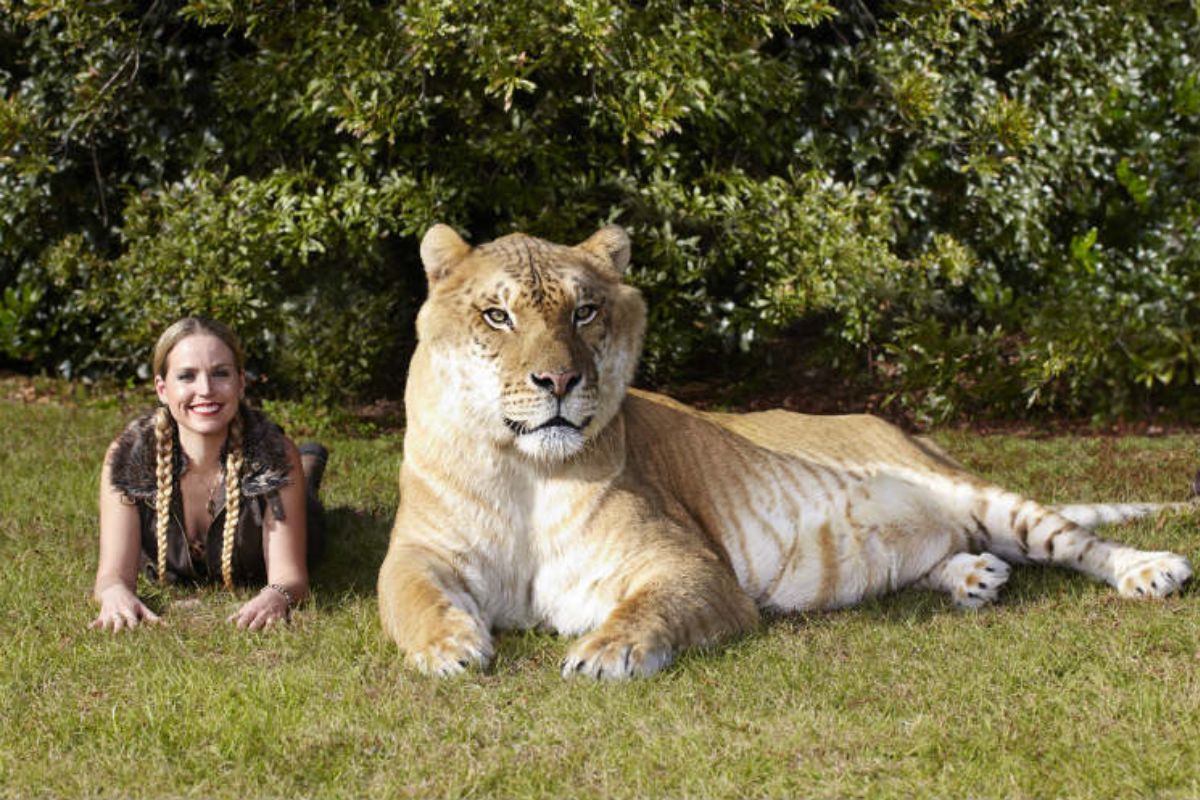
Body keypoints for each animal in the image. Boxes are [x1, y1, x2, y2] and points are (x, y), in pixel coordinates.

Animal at [377, 224, 1194, 679]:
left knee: (1075, 541)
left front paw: (606, 654)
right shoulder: (420, 552)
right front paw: (449, 648)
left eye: (584, 312)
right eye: (497, 316)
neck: (525, 469)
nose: (559, 380)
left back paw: (1151, 570)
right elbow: (411, 597)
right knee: (953, 550)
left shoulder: (686, 564)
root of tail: (911, 432)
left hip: (979, 494)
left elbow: (647, 609)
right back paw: (973, 576)